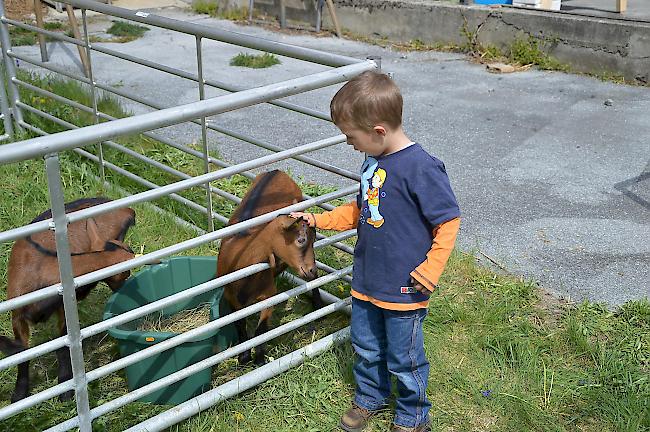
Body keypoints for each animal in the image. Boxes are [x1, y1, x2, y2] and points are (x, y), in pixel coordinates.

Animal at [0, 197, 134, 404]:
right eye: (125, 272)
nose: (127, 286)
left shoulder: (62, 308)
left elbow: (63, 347)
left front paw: (65, 389)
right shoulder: (17, 314)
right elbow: (22, 355)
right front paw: (19, 395)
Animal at [218, 170, 318, 366]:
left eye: (313, 240)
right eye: (301, 239)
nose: (310, 269)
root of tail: (277, 171)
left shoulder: (269, 294)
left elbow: (261, 330)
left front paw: (259, 359)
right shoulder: (230, 297)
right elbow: (240, 325)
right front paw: (244, 357)